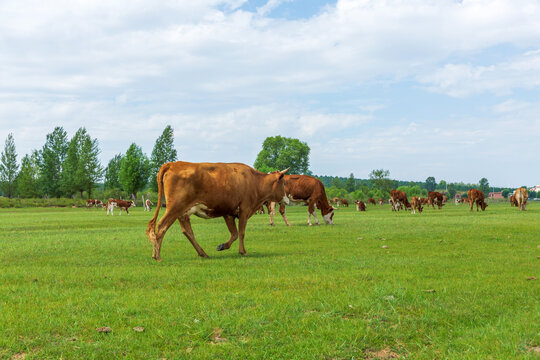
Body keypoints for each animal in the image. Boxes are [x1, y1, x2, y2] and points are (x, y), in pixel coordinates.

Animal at [146, 162, 288, 260]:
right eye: (283, 184)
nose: (287, 199)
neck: (255, 182)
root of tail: (172, 164)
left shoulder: (228, 213)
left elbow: (234, 233)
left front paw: (222, 246)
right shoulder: (244, 210)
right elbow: (241, 232)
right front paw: (243, 251)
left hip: (183, 212)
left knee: (187, 231)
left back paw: (202, 253)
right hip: (175, 208)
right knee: (162, 226)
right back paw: (157, 255)